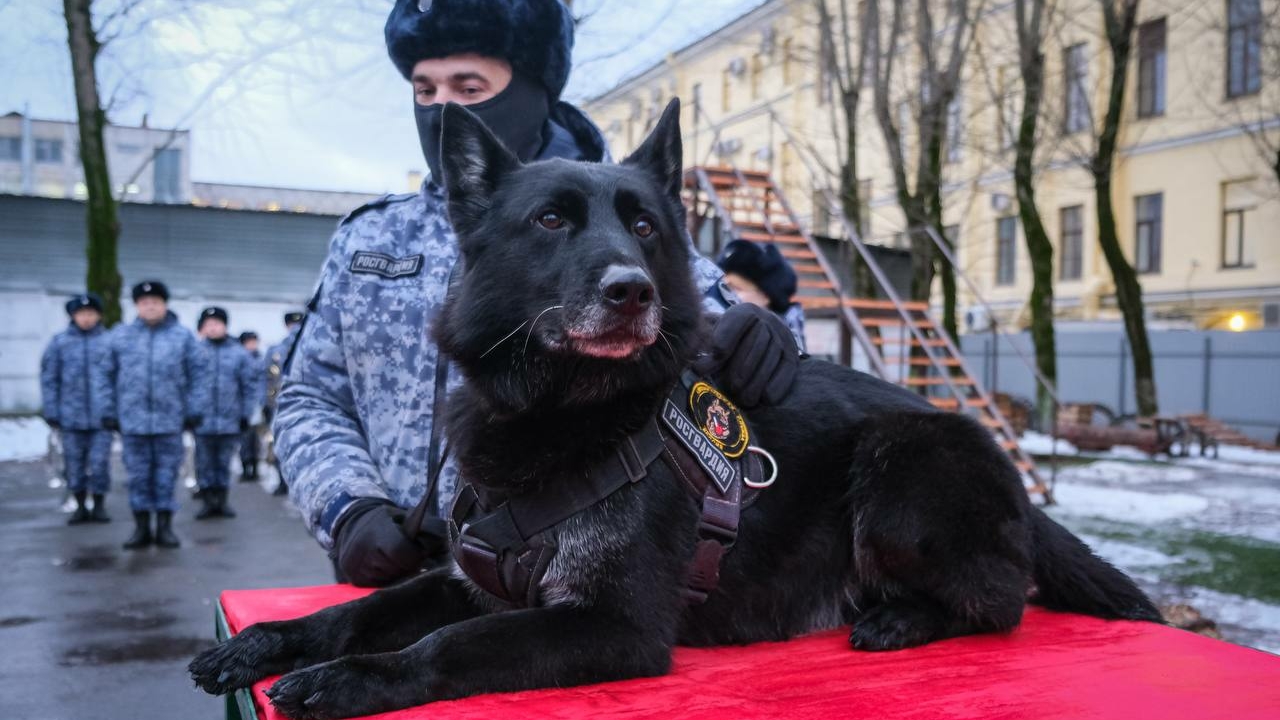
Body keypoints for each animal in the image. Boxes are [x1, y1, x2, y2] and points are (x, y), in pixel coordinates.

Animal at [189, 99, 1162, 717]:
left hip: (901, 459)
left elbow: (447, 648)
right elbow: (350, 613)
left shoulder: (612, 625)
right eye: (551, 221)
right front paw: (269, 642)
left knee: (1000, 601)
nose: (631, 292)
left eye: (646, 226)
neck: (565, 415)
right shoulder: (466, 580)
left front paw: (353, 680)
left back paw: (899, 617)